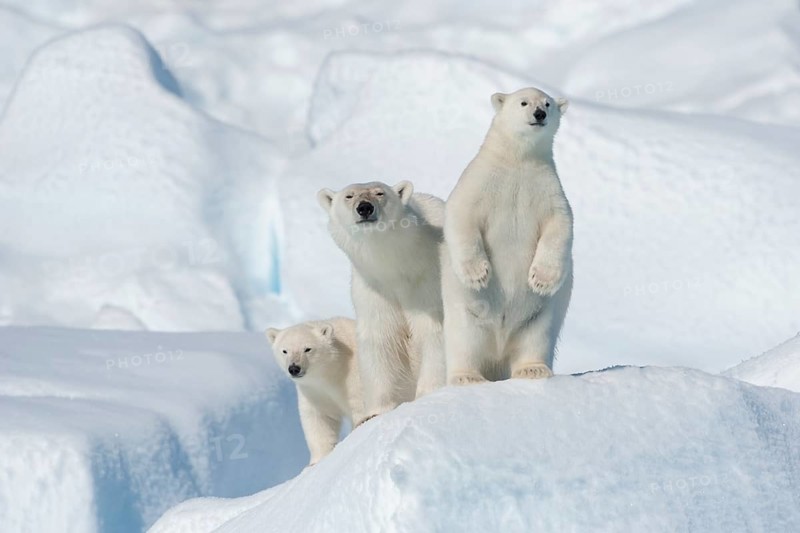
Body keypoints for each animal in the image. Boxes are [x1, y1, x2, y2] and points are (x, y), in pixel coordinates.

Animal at [266, 317, 364, 465]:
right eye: (285, 351)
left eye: (307, 349)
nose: (294, 368)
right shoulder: (314, 392)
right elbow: (318, 419)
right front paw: (315, 462)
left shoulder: (354, 376)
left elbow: (360, 403)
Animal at [317, 181, 446, 419]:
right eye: (349, 196)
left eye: (380, 192)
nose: (365, 208)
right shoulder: (375, 291)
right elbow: (380, 339)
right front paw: (377, 411)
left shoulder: (430, 281)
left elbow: (435, 330)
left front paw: (429, 393)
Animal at [442, 87, 573, 384]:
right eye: (523, 102)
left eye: (548, 103)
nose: (539, 114)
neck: (518, 160)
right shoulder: (481, 182)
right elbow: (461, 214)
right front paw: (478, 273)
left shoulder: (546, 188)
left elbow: (560, 224)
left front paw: (542, 279)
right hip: (466, 313)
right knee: (465, 341)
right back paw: (467, 376)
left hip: (539, 316)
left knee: (536, 337)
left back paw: (533, 369)